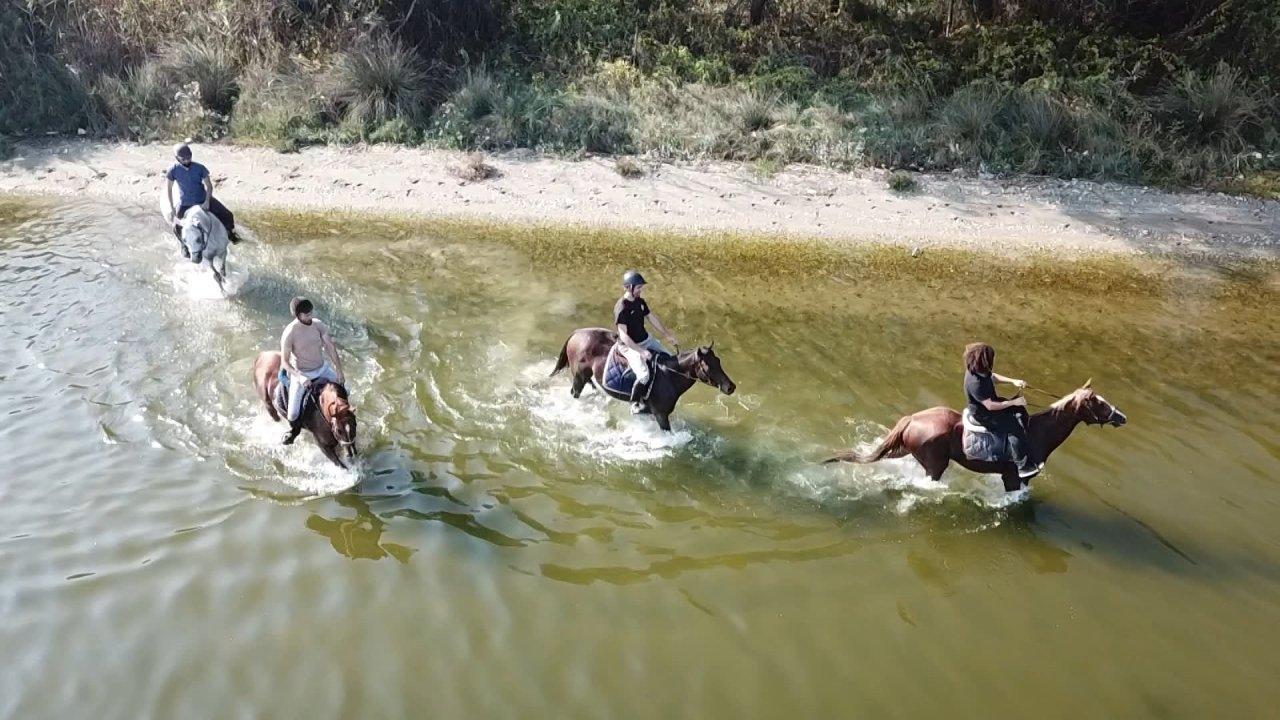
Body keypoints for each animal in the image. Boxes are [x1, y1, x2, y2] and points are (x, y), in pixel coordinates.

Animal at [552, 326, 742, 430]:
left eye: (718, 361)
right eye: (708, 366)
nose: (730, 387)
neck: (669, 376)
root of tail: (577, 333)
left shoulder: (651, 413)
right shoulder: (661, 415)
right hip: (579, 378)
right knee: (574, 393)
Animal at [824, 381, 1126, 486]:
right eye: (1099, 403)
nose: (1122, 417)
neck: (1037, 433)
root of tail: (912, 419)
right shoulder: (1014, 478)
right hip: (935, 465)